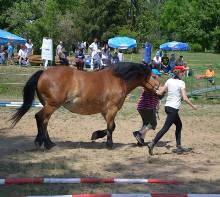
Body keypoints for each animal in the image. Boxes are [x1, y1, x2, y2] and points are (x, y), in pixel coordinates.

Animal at [10, 62, 159, 149]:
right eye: (154, 76)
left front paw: (96, 135)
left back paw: (49, 143)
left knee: (44, 121)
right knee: (40, 118)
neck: (118, 79)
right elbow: (111, 127)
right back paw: (42, 142)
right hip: (51, 105)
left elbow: (110, 127)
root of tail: (43, 73)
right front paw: (109, 143)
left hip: (49, 105)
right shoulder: (112, 109)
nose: (159, 90)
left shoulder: (105, 111)